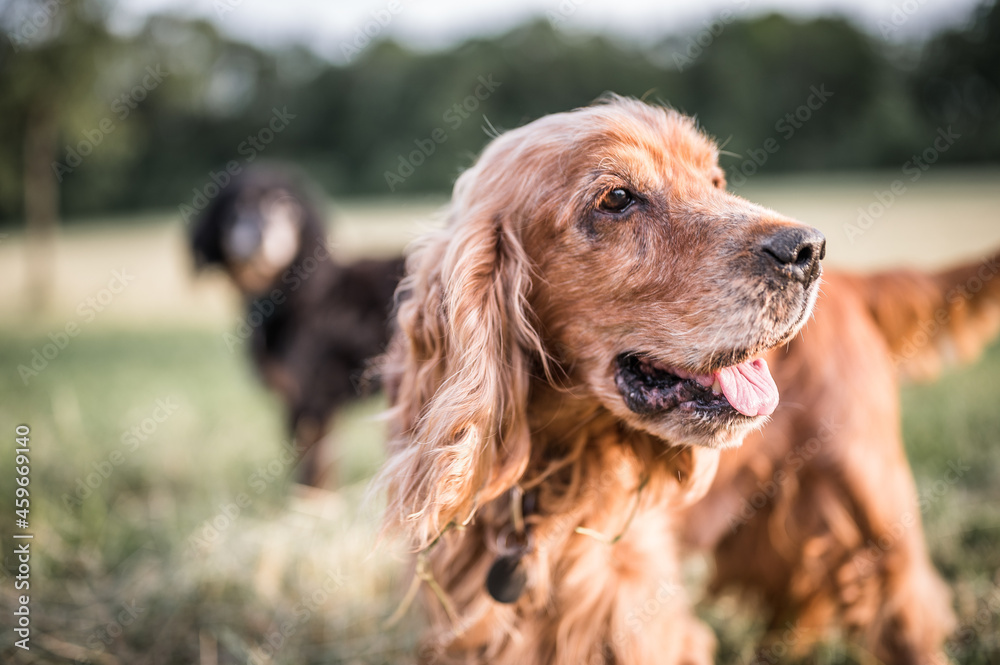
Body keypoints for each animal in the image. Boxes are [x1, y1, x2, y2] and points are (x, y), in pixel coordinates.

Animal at [191, 165, 402, 488]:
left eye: (285, 207)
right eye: (240, 206)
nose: (261, 232)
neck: (293, 293)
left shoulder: (312, 397)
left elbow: (314, 467)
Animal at [376, 94, 1000, 664]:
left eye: (715, 180)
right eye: (616, 198)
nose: (810, 249)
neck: (549, 479)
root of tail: (851, 283)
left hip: (872, 501)